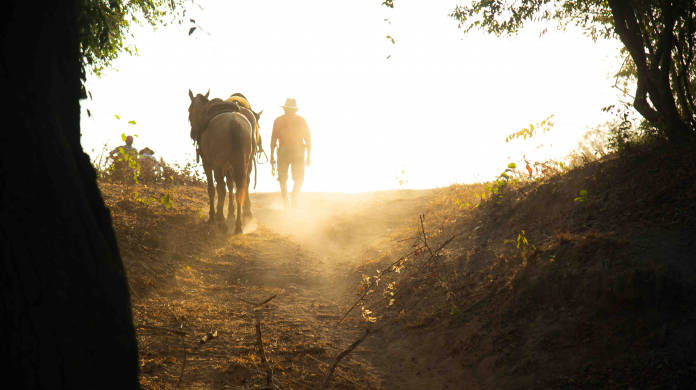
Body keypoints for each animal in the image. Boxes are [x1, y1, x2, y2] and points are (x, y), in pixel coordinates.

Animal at [188, 89, 253, 232]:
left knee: (222, 188)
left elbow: (212, 189)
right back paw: (238, 225)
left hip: (218, 164)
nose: (193, 133)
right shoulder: (227, 167)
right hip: (241, 163)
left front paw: (213, 215)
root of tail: (235, 125)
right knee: (239, 189)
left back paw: (221, 220)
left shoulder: (208, 164)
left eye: (189, 110)